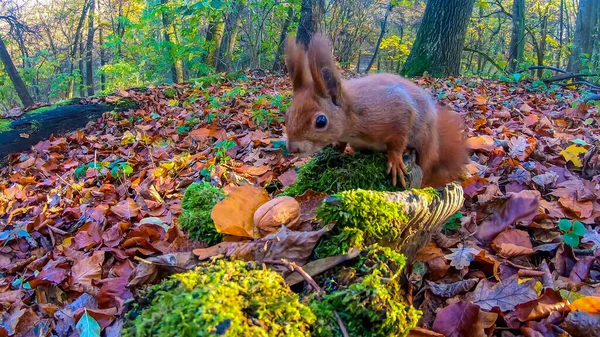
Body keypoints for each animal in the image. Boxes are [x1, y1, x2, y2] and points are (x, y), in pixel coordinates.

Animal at [284, 35, 468, 188]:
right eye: (286, 115)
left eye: (321, 121)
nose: (293, 148)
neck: (353, 117)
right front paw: (336, 146)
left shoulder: (396, 111)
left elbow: (397, 140)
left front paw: (395, 161)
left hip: (425, 142)